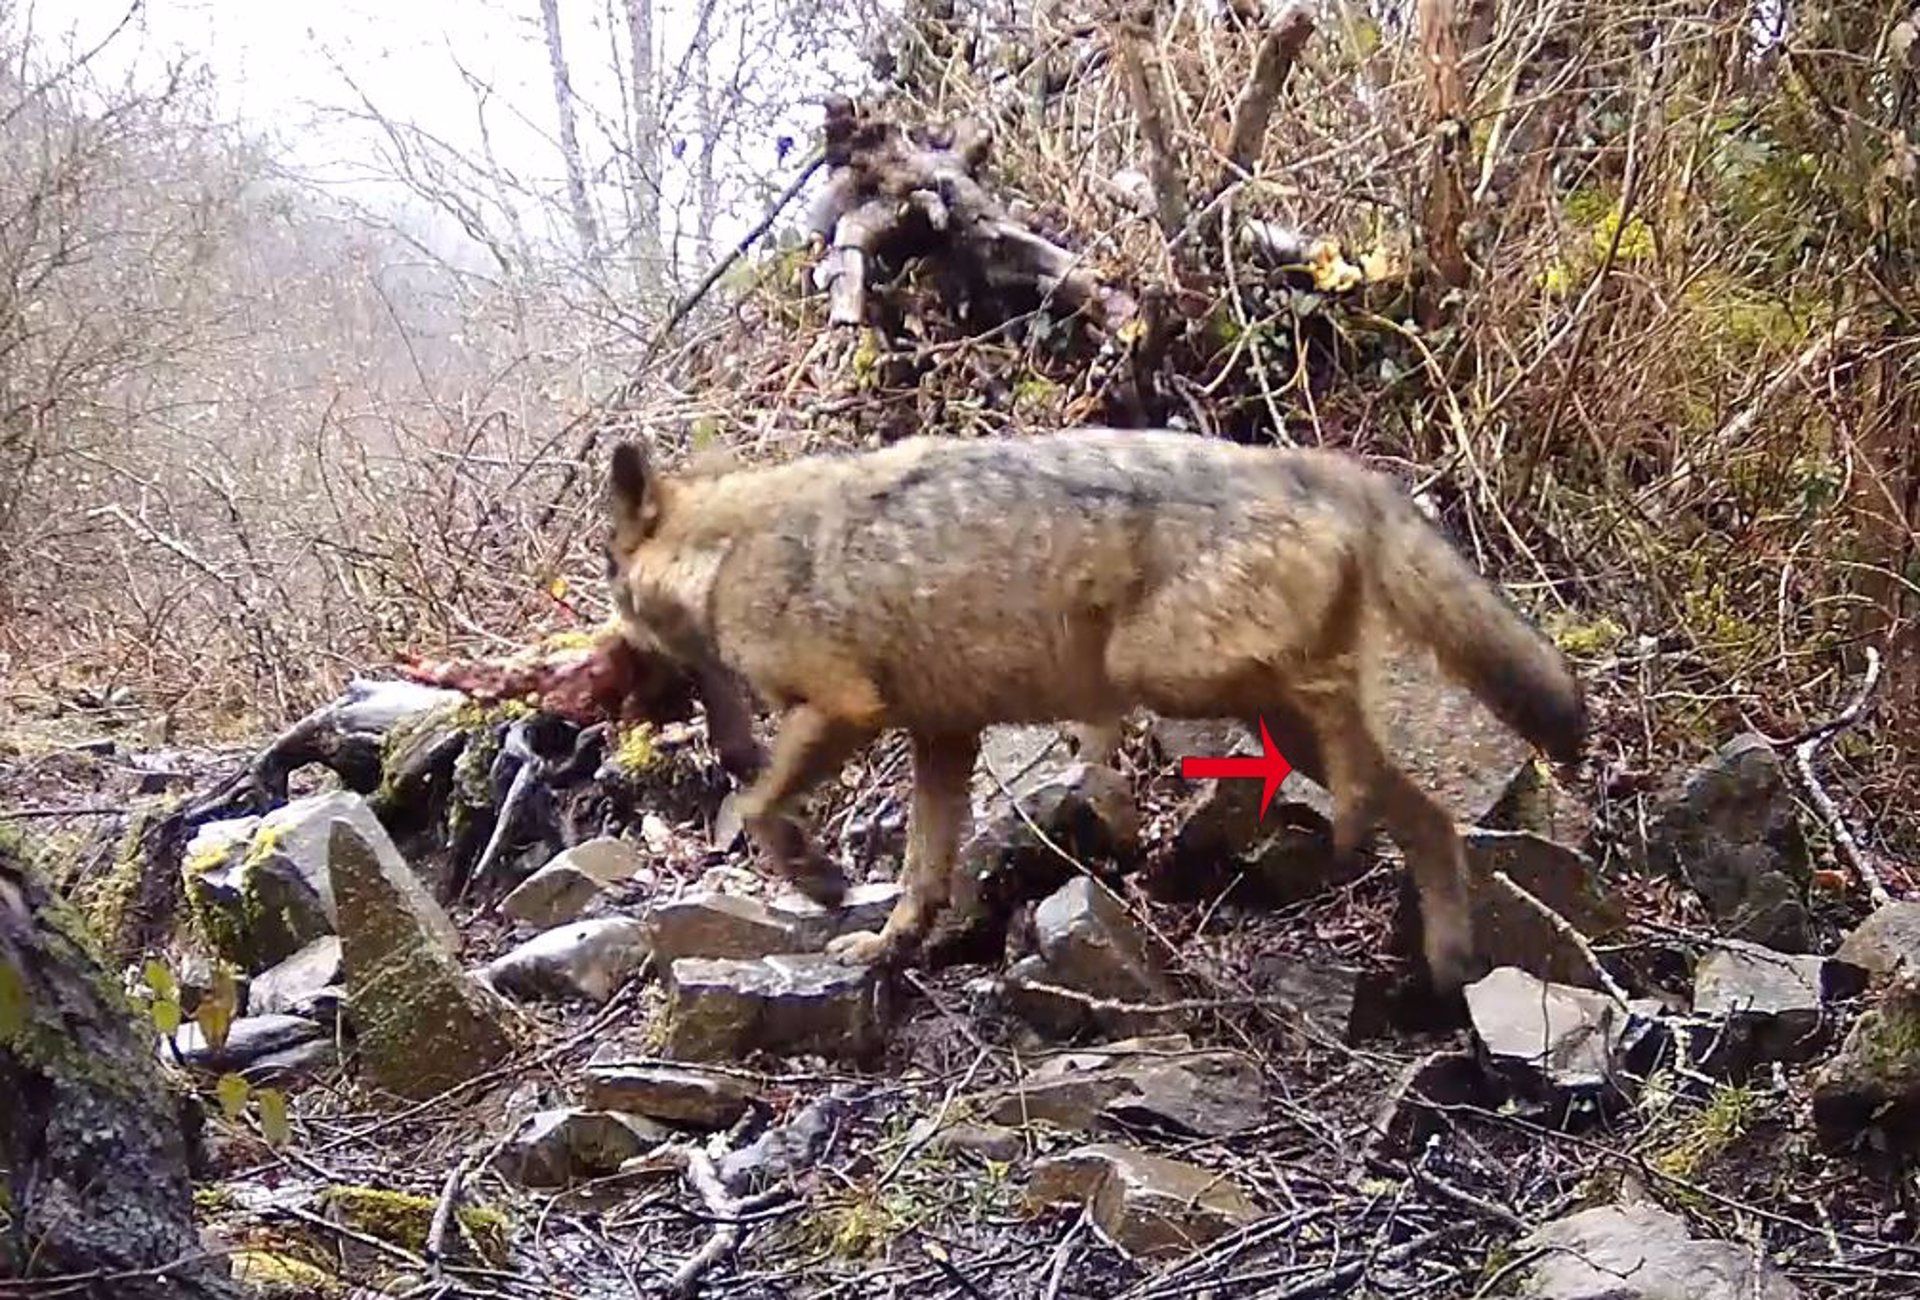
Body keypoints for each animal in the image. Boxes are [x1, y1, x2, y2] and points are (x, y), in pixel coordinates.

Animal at [602, 428, 1589, 990]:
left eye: (611, 585)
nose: (602, 659)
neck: (727, 554)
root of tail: (1316, 466)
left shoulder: (845, 707)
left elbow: (763, 807)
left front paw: (818, 878)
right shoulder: (943, 738)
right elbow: (923, 873)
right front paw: (885, 947)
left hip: (1181, 677)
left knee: (1346, 714)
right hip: (1255, 708)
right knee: (1429, 817)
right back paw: (1448, 964)